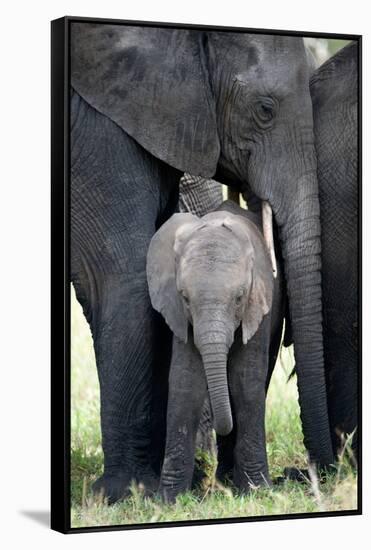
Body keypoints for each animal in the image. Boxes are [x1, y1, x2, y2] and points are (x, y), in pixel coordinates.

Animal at [147, 201, 284, 502]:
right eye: (185, 298)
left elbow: (246, 381)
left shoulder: (259, 303)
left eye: (239, 297)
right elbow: (186, 381)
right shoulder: (180, 315)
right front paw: (168, 501)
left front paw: (258, 492)